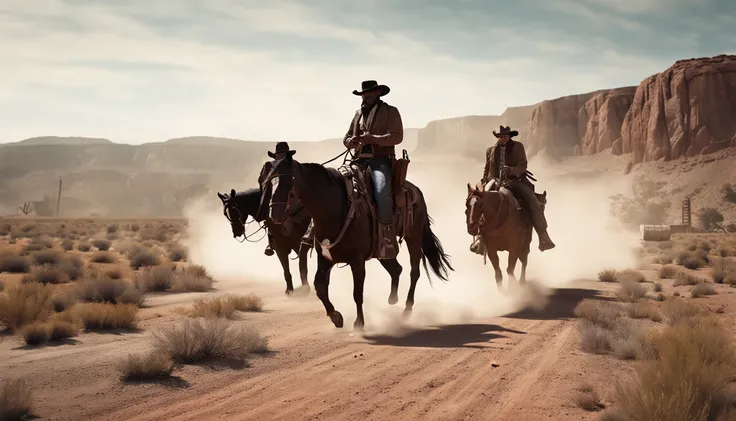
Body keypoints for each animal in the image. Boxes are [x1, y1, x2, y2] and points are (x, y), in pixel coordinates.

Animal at [262, 153, 452, 330]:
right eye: (268, 182)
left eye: (288, 183)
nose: (274, 216)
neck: (334, 209)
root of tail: (416, 191)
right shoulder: (325, 257)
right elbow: (320, 287)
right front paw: (336, 317)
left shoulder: (357, 260)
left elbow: (357, 292)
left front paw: (359, 323)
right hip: (383, 252)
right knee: (396, 269)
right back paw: (392, 299)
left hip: (414, 237)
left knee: (414, 272)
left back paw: (406, 310)